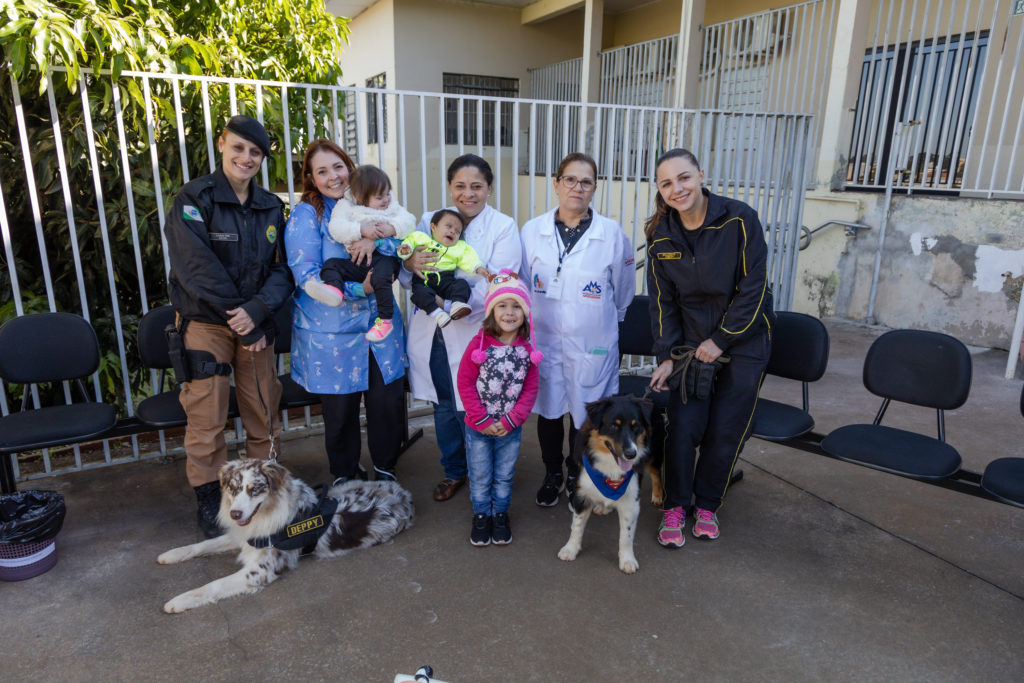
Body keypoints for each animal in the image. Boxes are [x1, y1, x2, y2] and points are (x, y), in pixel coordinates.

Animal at [155, 458, 411, 614]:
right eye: (234, 489)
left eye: (254, 489)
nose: (235, 513)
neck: (267, 514)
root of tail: (404, 494)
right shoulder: (245, 534)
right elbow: (203, 544)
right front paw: (172, 554)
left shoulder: (260, 570)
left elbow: (214, 585)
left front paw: (180, 600)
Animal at [557, 395, 659, 577]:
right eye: (613, 426)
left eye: (636, 426)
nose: (631, 454)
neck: (611, 467)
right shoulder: (582, 493)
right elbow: (577, 525)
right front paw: (570, 549)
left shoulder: (631, 501)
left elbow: (626, 535)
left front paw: (627, 560)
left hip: (653, 454)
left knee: (656, 473)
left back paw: (658, 496)